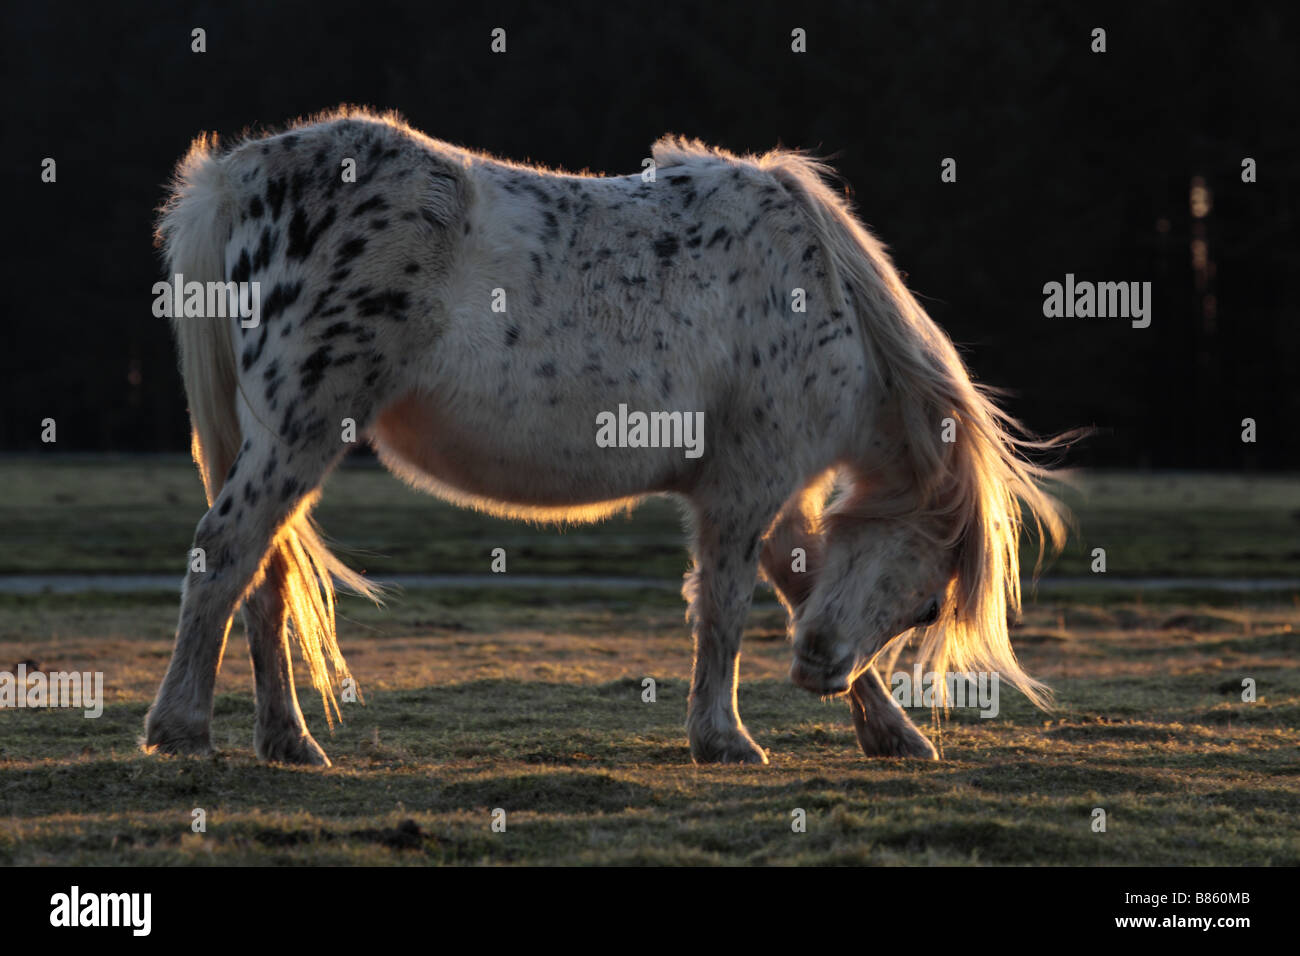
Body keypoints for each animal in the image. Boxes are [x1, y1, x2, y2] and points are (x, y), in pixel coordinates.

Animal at [149, 108, 1066, 770]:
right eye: (927, 604)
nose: (817, 670)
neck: (820, 294)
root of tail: (239, 176)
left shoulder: (780, 495)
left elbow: (795, 582)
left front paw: (891, 732)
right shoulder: (746, 487)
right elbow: (726, 606)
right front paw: (725, 740)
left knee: (263, 575)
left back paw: (287, 742)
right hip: (297, 431)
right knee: (226, 554)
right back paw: (182, 728)